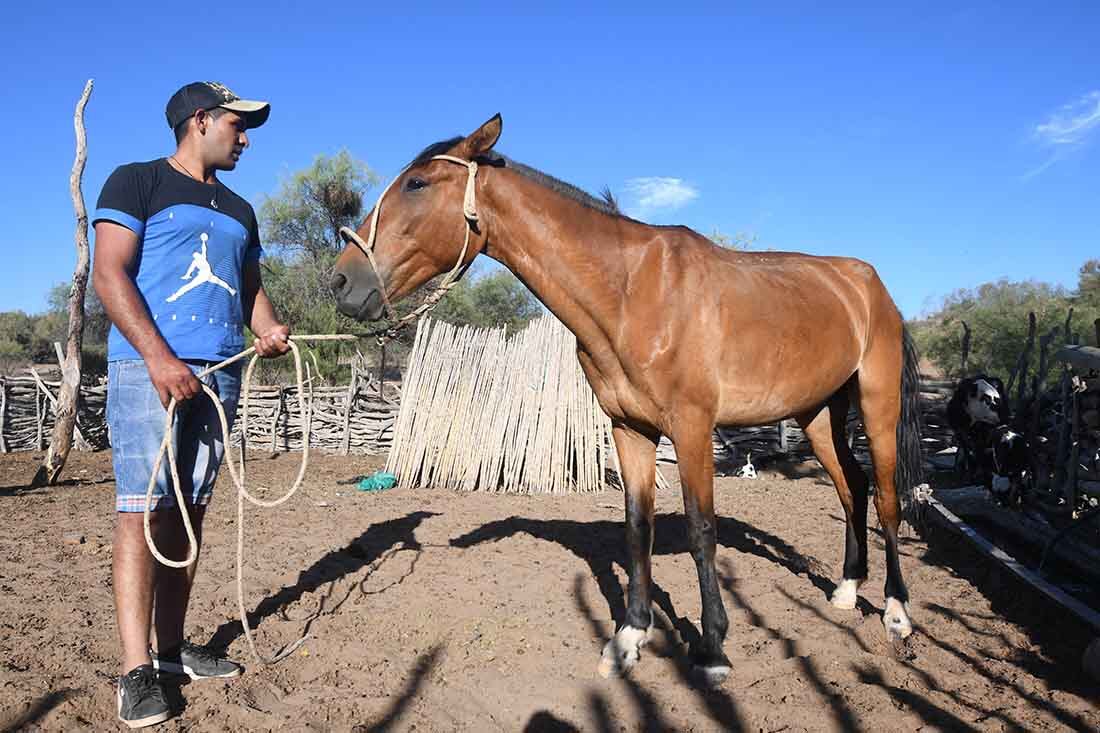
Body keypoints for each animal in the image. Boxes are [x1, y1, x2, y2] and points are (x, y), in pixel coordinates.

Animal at [330, 114, 924, 686]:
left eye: (417, 183)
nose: (340, 282)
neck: (631, 290)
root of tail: (868, 285)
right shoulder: (629, 428)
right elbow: (638, 525)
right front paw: (631, 636)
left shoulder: (691, 428)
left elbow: (701, 529)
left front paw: (712, 649)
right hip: (818, 413)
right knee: (852, 487)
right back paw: (846, 590)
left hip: (876, 405)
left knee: (886, 498)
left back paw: (896, 612)